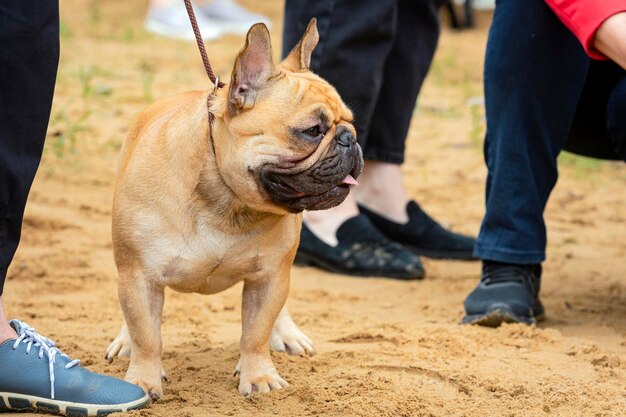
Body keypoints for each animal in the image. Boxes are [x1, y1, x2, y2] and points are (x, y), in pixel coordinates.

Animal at [105, 21, 364, 398]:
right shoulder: (139, 276)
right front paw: (142, 380)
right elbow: (147, 336)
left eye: (352, 122)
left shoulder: (269, 277)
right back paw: (125, 342)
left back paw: (287, 333)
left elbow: (256, 333)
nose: (351, 139)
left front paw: (258, 376)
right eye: (312, 131)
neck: (227, 200)